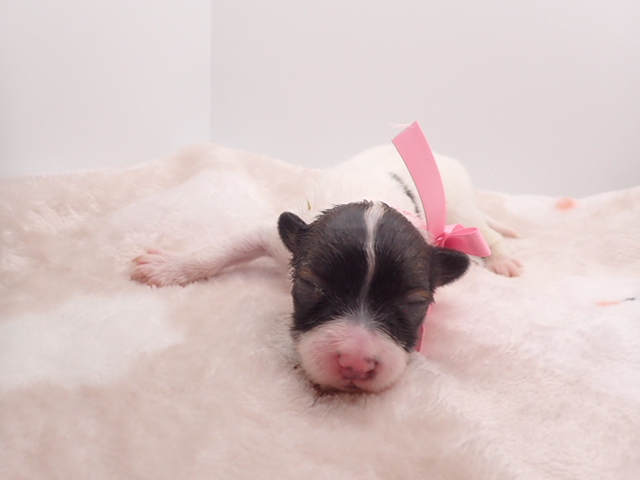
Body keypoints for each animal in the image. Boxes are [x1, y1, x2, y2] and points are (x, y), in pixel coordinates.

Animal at [132, 144, 521, 393]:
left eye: (415, 303)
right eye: (310, 285)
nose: (355, 363)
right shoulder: (281, 237)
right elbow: (225, 247)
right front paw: (171, 266)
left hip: (458, 204)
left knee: (483, 232)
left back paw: (502, 258)